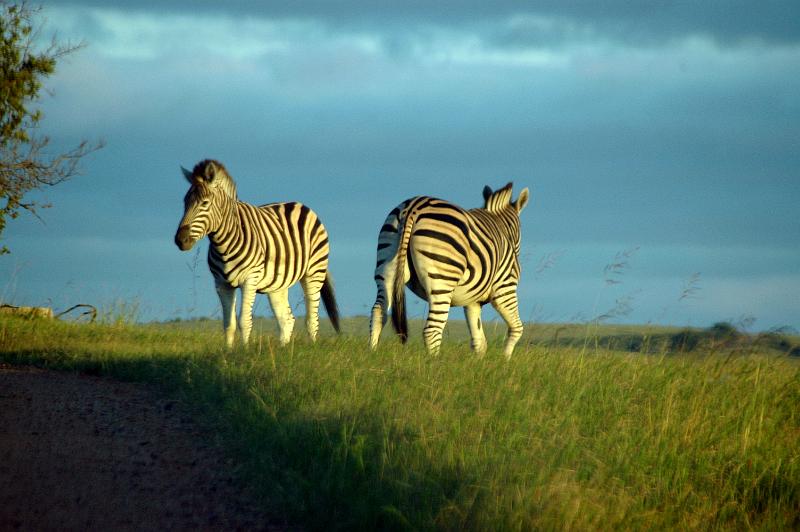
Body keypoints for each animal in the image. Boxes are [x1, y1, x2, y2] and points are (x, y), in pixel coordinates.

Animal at [173, 160, 340, 348]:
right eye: (185, 202)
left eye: (204, 203)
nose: (180, 240)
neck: (223, 243)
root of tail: (299, 204)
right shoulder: (221, 284)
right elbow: (228, 324)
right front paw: (228, 352)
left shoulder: (249, 279)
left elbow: (244, 321)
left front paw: (244, 351)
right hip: (278, 284)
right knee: (287, 319)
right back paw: (283, 349)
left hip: (314, 272)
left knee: (312, 319)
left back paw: (311, 346)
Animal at [368, 182, 532, 358]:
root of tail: (414, 207)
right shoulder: (505, 289)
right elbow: (517, 328)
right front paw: (505, 359)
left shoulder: (472, 301)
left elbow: (479, 341)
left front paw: (479, 363)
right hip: (442, 280)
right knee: (432, 330)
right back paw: (434, 362)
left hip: (387, 264)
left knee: (378, 312)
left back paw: (372, 353)